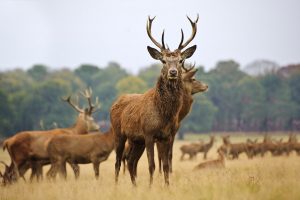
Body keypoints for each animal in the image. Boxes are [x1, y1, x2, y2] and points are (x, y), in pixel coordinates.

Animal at [110, 15, 199, 186]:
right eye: (163, 60)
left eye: (180, 60)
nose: (173, 72)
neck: (164, 114)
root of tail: (115, 102)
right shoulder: (149, 133)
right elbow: (152, 165)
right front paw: (151, 187)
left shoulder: (167, 136)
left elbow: (165, 165)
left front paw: (167, 186)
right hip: (119, 133)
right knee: (118, 162)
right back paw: (116, 186)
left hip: (136, 140)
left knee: (131, 161)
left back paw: (135, 186)